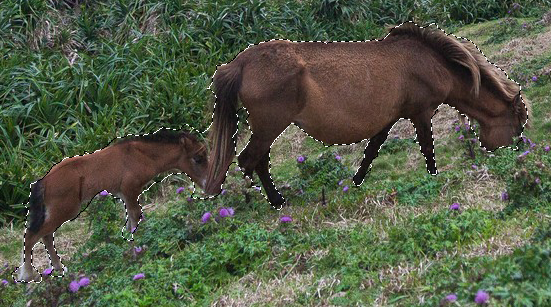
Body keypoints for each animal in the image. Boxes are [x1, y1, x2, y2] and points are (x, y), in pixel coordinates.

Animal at [15, 130, 209, 284]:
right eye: (198, 158)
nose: (207, 184)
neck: (140, 155)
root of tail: (44, 181)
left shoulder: (125, 195)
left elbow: (130, 222)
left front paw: (128, 247)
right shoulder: (130, 191)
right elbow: (136, 217)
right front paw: (137, 247)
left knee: (45, 236)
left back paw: (60, 269)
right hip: (65, 210)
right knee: (32, 236)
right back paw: (28, 275)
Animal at [206, 23, 532, 207]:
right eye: (518, 126)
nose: (519, 152)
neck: (433, 62)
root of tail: (239, 64)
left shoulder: (388, 118)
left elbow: (372, 151)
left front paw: (356, 181)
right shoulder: (421, 112)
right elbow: (428, 149)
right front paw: (434, 177)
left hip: (267, 127)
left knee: (256, 161)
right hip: (270, 125)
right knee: (249, 160)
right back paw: (266, 201)